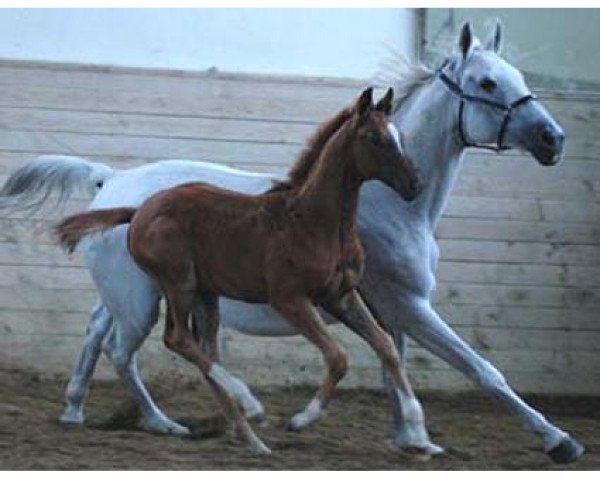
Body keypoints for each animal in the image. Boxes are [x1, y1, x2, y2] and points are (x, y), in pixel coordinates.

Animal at [54, 87, 424, 454]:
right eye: (375, 138)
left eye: (400, 137)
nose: (414, 185)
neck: (314, 222)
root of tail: (138, 211)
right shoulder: (289, 299)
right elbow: (338, 357)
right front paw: (301, 419)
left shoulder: (340, 296)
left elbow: (387, 347)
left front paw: (417, 427)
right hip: (177, 285)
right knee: (176, 339)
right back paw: (250, 406)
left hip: (204, 294)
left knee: (201, 351)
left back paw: (252, 439)